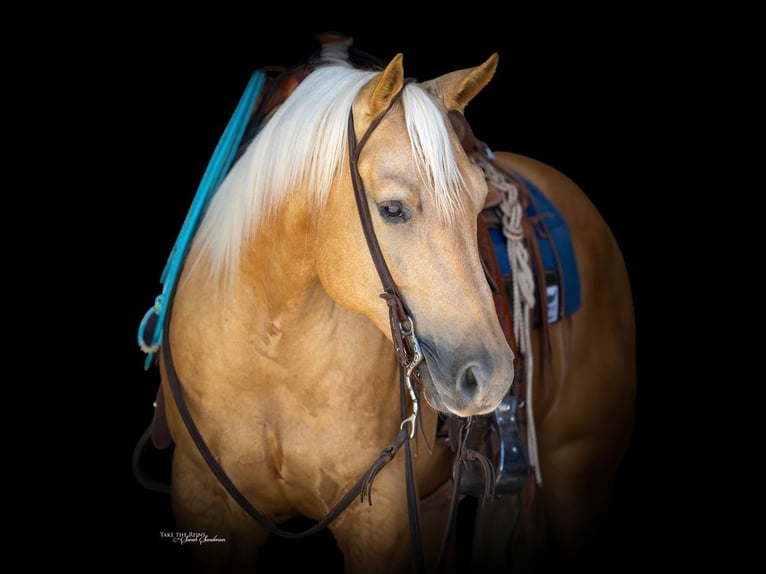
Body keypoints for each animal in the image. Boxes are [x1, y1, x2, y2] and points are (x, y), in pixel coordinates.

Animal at [135, 46, 635, 574]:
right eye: (393, 209)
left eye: (480, 201)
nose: (493, 377)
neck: (271, 348)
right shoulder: (206, 499)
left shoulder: (383, 523)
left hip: (577, 472)